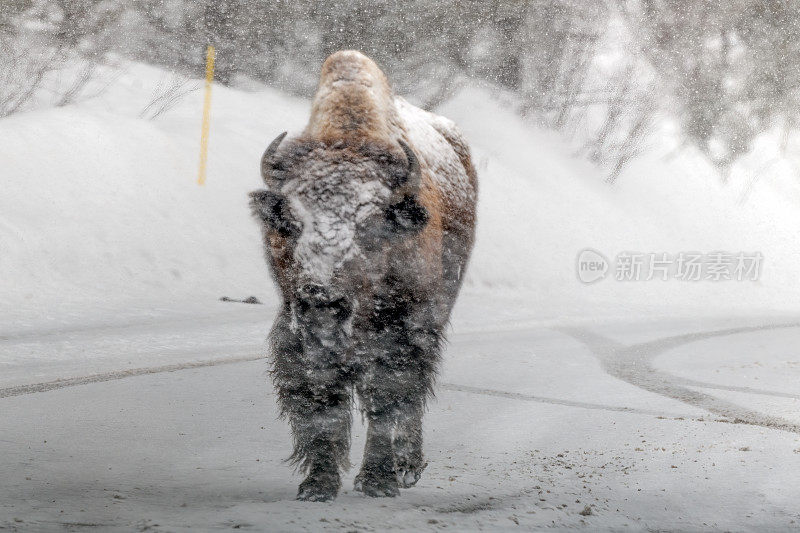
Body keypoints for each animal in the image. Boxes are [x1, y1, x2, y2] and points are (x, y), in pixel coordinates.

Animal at [250, 48, 476, 498]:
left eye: (370, 224)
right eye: (291, 222)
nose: (321, 299)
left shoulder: (403, 331)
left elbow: (386, 399)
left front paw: (378, 481)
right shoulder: (298, 335)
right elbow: (322, 402)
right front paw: (318, 485)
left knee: (411, 399)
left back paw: (408, 467)